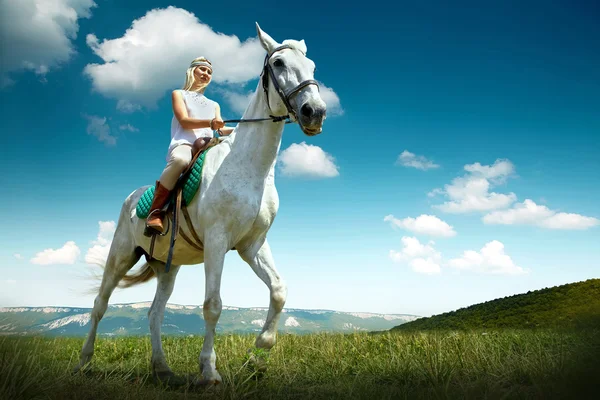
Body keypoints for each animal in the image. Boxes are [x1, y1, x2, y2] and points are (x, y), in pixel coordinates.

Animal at [75, 24, 328, 384]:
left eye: (313, 66)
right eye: (278, 62)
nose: (314, 112)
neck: (248, 168)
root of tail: (132, 197)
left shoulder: (252, 245)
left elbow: (279, 290)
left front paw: (258, 354)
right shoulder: (217, 242)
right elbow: (213, 305)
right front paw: (209, 371)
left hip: (167, 266)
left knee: (154, 313)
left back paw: (162, 369)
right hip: (120, 255)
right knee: (100, 304)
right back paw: (84, 362)